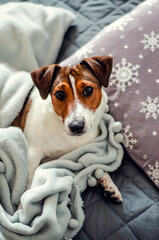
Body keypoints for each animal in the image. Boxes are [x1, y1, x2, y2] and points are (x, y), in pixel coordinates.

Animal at [11, 55, 122, 202]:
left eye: (88, 90)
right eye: (59, 94)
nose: (76, 127)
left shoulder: (86, 149)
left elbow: (97, 163)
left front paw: (108, 183)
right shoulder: (33, 152)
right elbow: (29, 184)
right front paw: (23, 205)